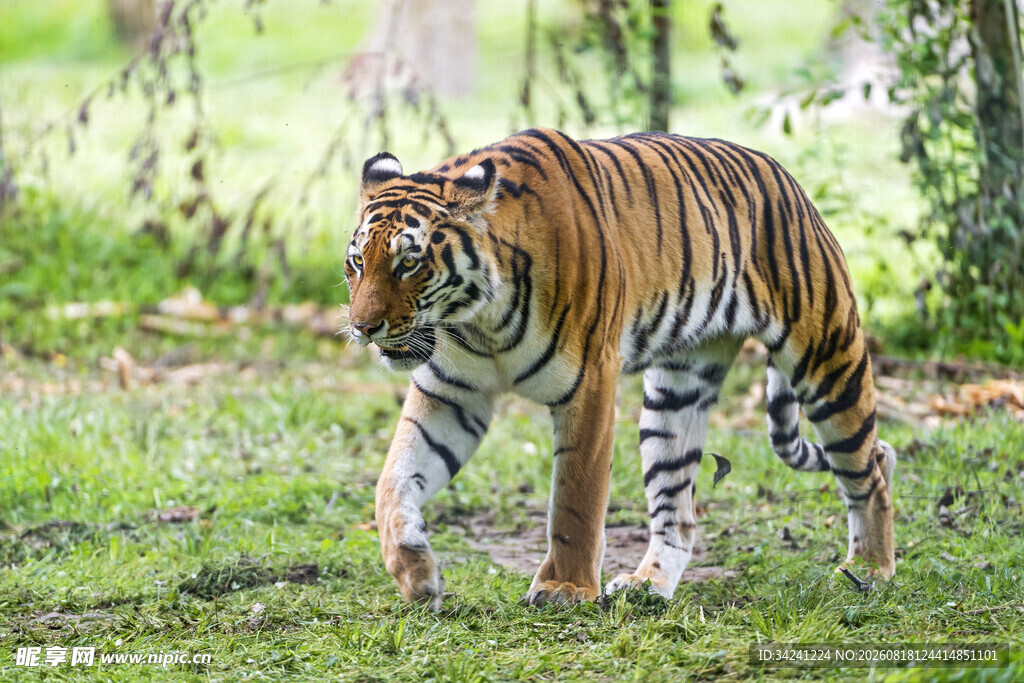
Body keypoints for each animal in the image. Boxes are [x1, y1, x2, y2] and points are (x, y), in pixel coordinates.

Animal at [344, 127, 896, 609]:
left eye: (409, 263)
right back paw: (646, 586)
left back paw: (869, 568)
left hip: (827, 361)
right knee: (680, 515)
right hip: (675, 396)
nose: (362, 326)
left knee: (870, 469)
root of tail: (786, 178)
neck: (479, 320)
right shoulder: (451, 394)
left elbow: (575, 499)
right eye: (358, 262)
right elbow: (393, 481)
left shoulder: (589, 383)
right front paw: (415, 572)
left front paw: (565, 589)